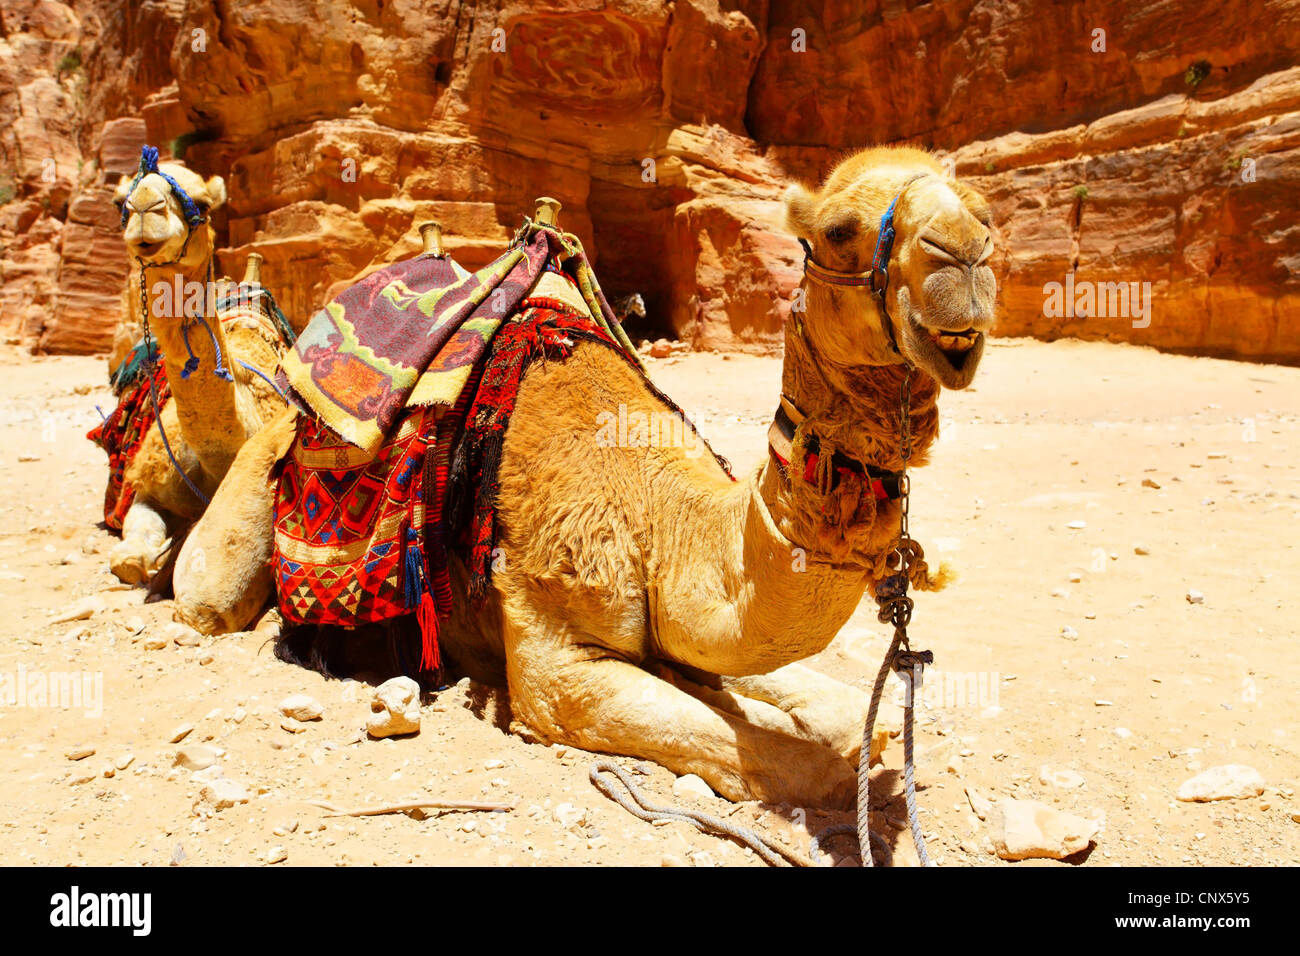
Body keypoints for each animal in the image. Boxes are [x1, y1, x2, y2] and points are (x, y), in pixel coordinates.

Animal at [104, 154, 292, 582]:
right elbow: (129, 561)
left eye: (203, 205)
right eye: (121, 202)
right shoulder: (147, 486)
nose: (146, 208)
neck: (214, 461)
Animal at [170, 147, 993, 806]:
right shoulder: (554, 658)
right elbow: (793, 762)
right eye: (838, 229)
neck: (665, 518)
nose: (967, 252)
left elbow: (844, 712)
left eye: (982, 212)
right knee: (207, 598)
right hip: (252, 493)